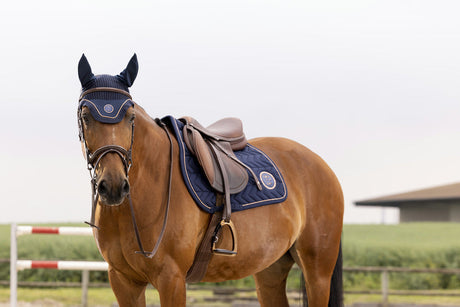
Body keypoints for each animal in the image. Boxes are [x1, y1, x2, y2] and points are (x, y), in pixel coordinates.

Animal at [75, 53, 344, 307]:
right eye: (85, 117)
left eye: (130, 117)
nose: (113, 186)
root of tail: (323, 166)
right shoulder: (123, 281)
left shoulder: (171, 279)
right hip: (270, 270)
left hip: (318, 274)